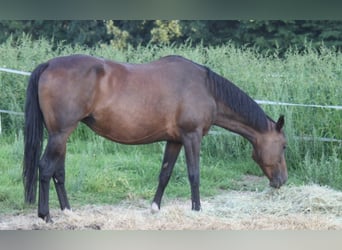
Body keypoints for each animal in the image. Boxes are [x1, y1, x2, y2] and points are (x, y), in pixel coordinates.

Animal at [22, 54, 288, 223]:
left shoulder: (175, 140)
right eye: (284, 146)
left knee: (58, 172)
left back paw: (68, 211)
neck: (206, 89)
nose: (282, 180)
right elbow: (194, 174)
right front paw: (197, 209)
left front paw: (155, 208)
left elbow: (165, 174)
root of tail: (49, 64)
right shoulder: (192, 137)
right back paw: (46, 216)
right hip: (60, 134)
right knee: (45, 168)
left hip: (61, 135)